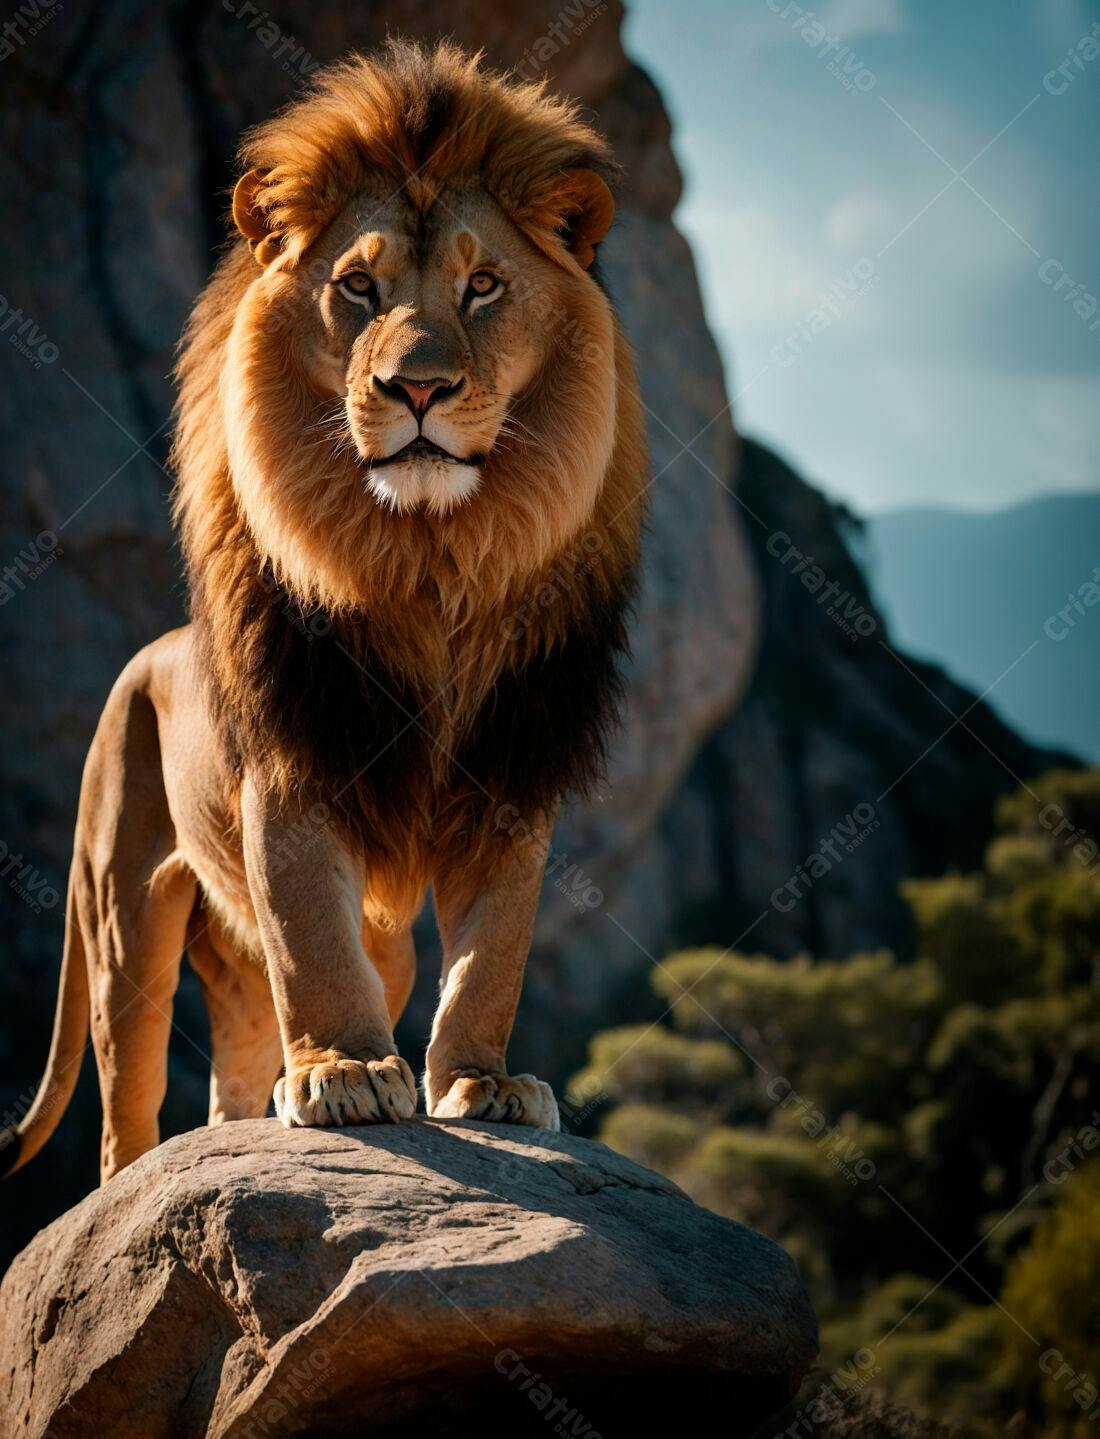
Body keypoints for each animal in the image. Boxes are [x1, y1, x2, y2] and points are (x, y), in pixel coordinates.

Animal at [2, 40, 646, 1184]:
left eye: (484, 285)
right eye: (357, 286)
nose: (418, 389)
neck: (428, 564)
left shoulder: (512, 773)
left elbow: (493, 951)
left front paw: (483, 1082)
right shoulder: (295, 762)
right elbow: (310, 933)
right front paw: (345, 1071)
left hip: (328, 947)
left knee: (242, 1068)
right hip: (123, 916)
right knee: (128, 1106)